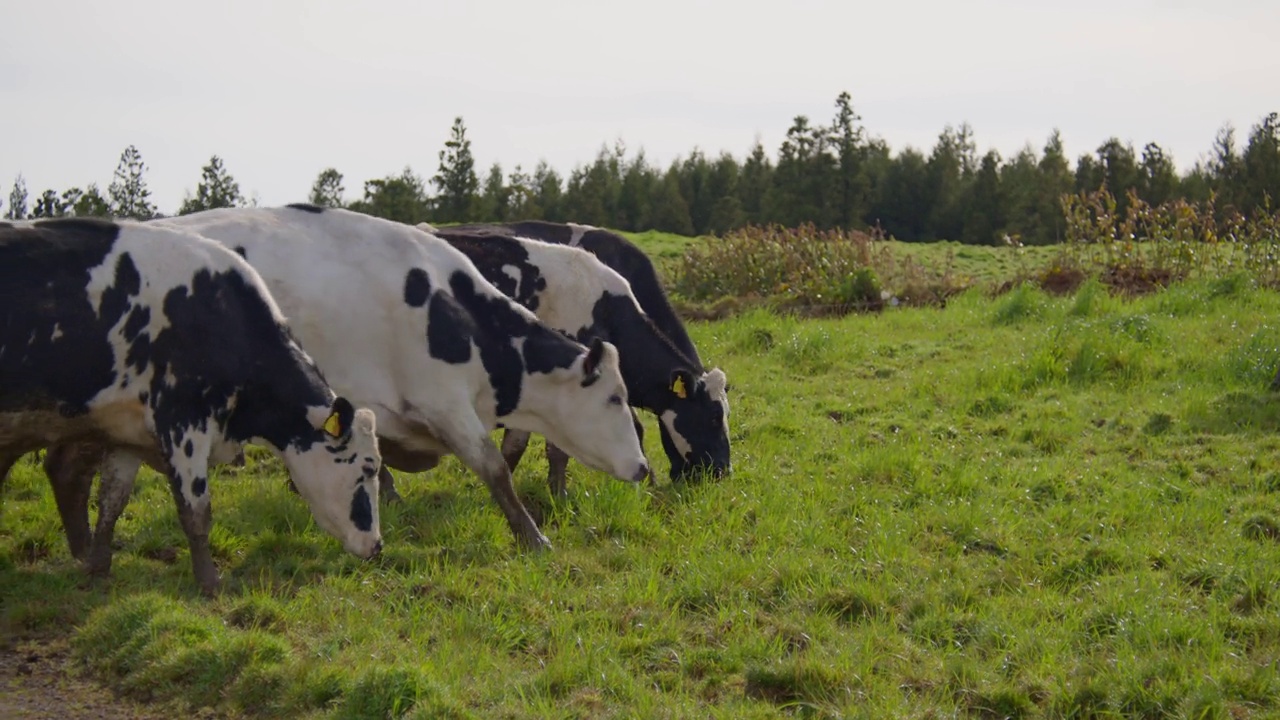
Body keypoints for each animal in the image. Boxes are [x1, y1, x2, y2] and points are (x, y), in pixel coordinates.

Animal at [0, 219, 381, 594]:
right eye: (369, 468)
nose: (377, 545)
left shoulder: (127, 433)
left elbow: (112, 500)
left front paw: (98, 566)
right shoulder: (183, 423)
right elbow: (196, 510)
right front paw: (210, 581)